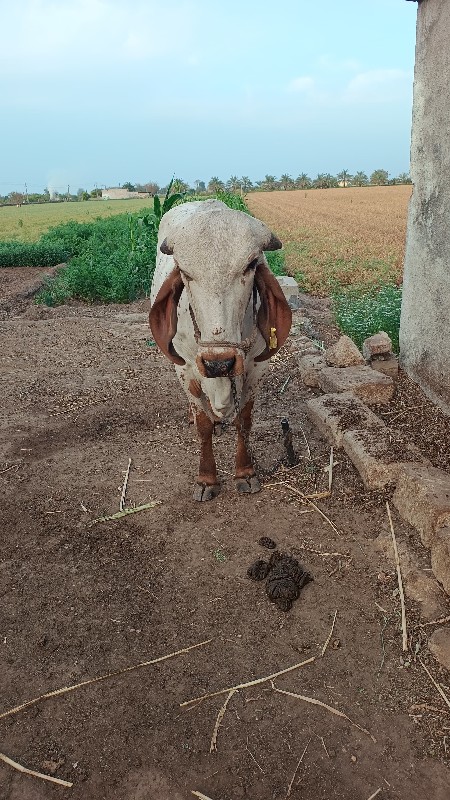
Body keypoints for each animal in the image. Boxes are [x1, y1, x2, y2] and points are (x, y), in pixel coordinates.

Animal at [149, 200, 294, 500]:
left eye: (251, 265)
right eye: (184, 272)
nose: (219, 363)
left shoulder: (255, 369)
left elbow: (244, 421)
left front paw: (245, 472)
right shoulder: (185, 369)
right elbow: (203, 425)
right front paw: (207, 479)